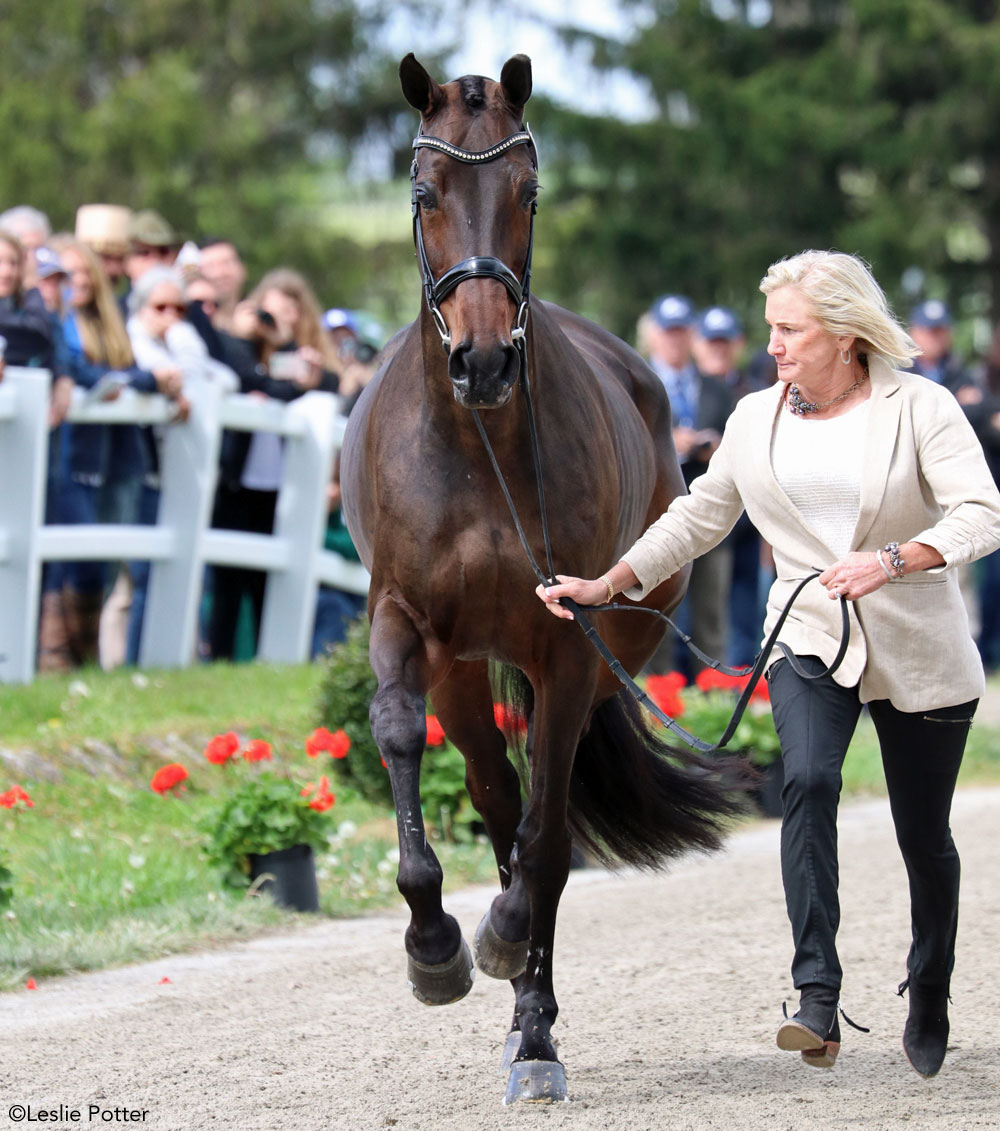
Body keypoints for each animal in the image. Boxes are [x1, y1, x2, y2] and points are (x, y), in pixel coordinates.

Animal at [343, 53, 742, 1103]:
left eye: (526, 193)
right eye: (424, 193)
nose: (483, 359)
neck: (477, 446)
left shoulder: (567, 643)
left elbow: (547, 841)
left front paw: (512, 970)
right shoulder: (408, 623)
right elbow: (400, 734)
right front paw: (434, 947)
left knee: (541, 824)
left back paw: (532, 1017)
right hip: (464, 669)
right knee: (494, 795)